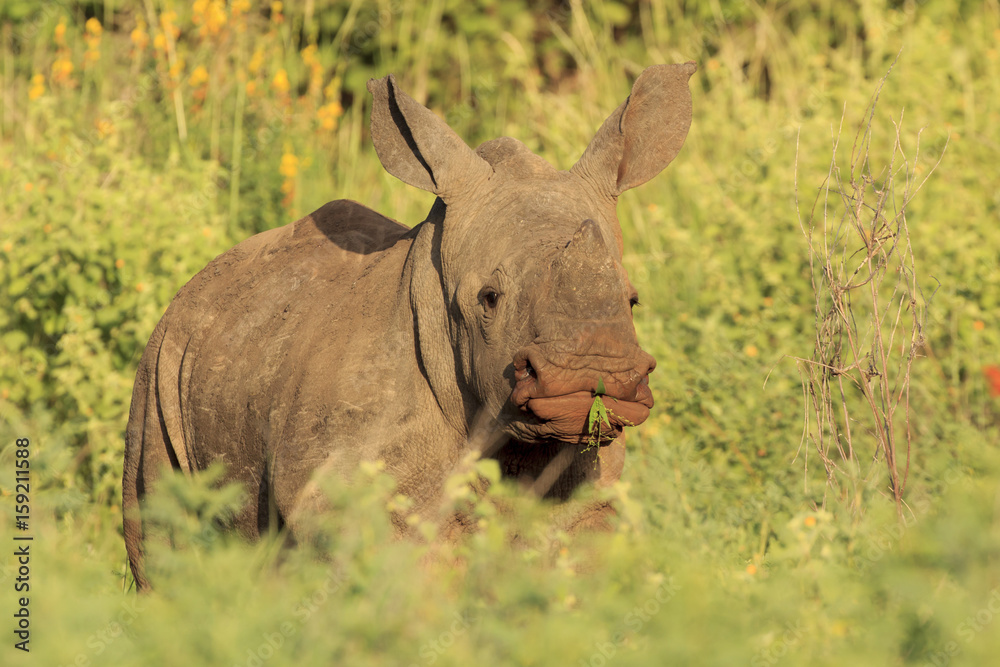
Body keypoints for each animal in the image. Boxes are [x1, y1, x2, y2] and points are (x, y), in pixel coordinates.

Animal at [123, 63, 695, 589]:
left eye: (632, 300)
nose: (593, 372)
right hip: (162, 365)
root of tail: (194, 286)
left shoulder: (585, 493)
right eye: (489, 299)